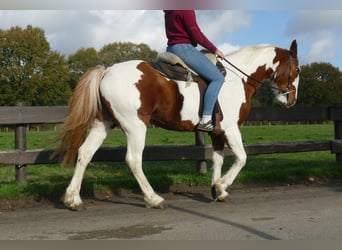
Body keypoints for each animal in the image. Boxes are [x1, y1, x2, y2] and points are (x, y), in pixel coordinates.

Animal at [58, 39, 300, 211]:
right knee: (133, 160)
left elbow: (218, 159)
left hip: (103, 124)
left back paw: (73, 199)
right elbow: (242, 158)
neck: (237, 78)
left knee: (85, 153)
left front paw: (217, 190)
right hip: (136, 127)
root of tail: (106, 70)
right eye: (297, 70)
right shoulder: (231, 129)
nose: (291, 100)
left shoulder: (217, 133)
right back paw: (154, 199)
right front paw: (222, 185)